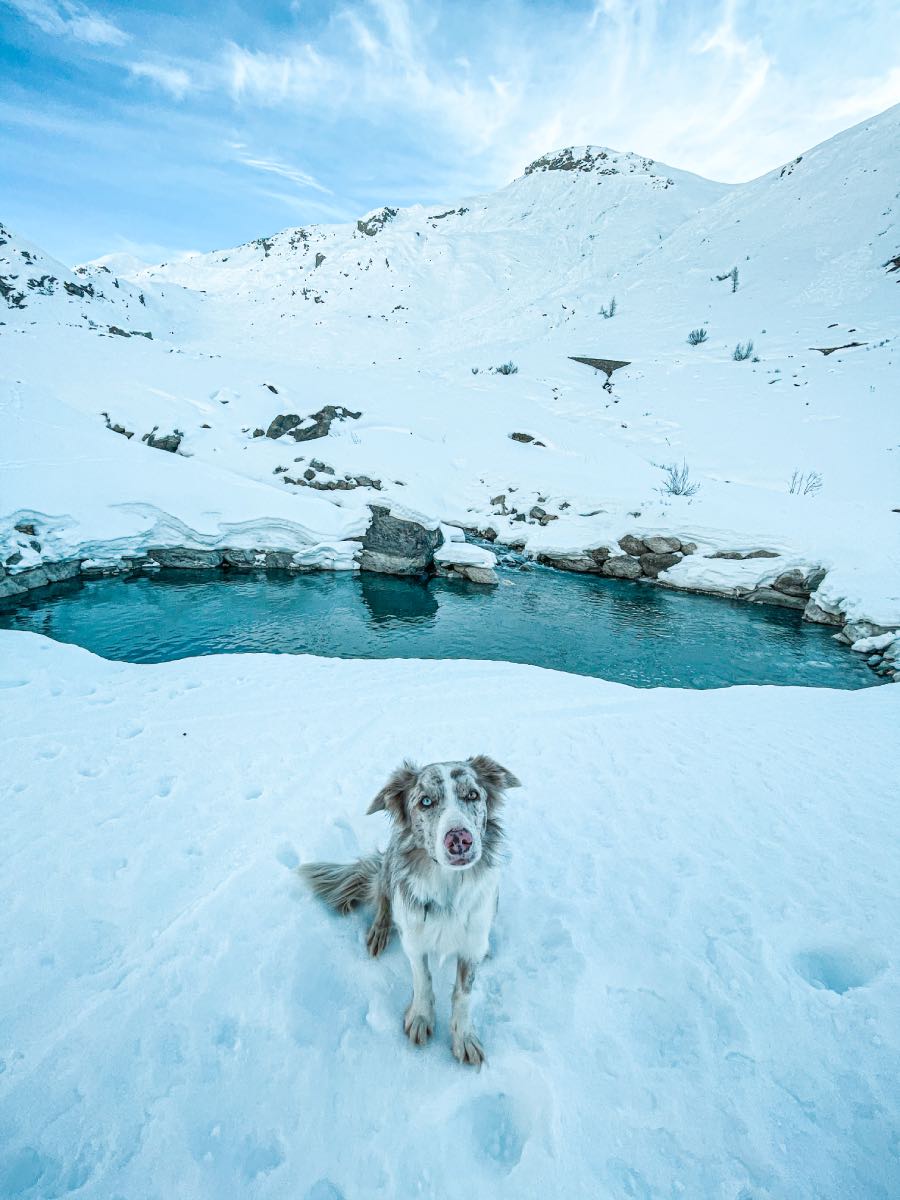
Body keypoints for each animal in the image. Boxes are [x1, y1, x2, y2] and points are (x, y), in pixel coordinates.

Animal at [301, 753, 520, 1065]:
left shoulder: (472, 944)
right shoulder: (414, 937)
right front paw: (420, 1017)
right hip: (387, 869)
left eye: (472, 795)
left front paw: (464, 1038)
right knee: (382, 903)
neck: (447, 888)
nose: (459, 840)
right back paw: (378, 932)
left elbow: (463, 994)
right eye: (425, 802)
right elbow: (423, 978)